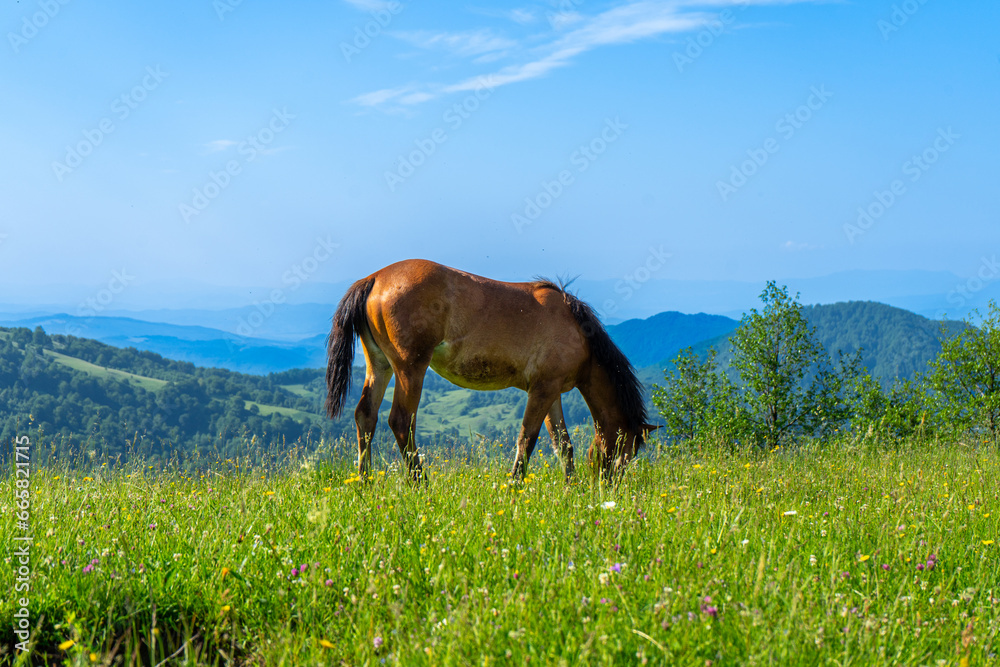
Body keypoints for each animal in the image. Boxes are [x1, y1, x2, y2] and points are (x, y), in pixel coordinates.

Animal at [324, 259, 655, 482]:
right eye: (626, 452)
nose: (610, 487)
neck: (577, 330)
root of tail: (374, 278)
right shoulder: (543, 390)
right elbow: (527, 439)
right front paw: (514, 485)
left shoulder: (551, 392)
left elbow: (564, 445)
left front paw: (570, 488)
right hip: (411, 368)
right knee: (401, 421)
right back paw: (420, 483)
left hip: (379, 365)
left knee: (366, 416)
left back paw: (365, 482)